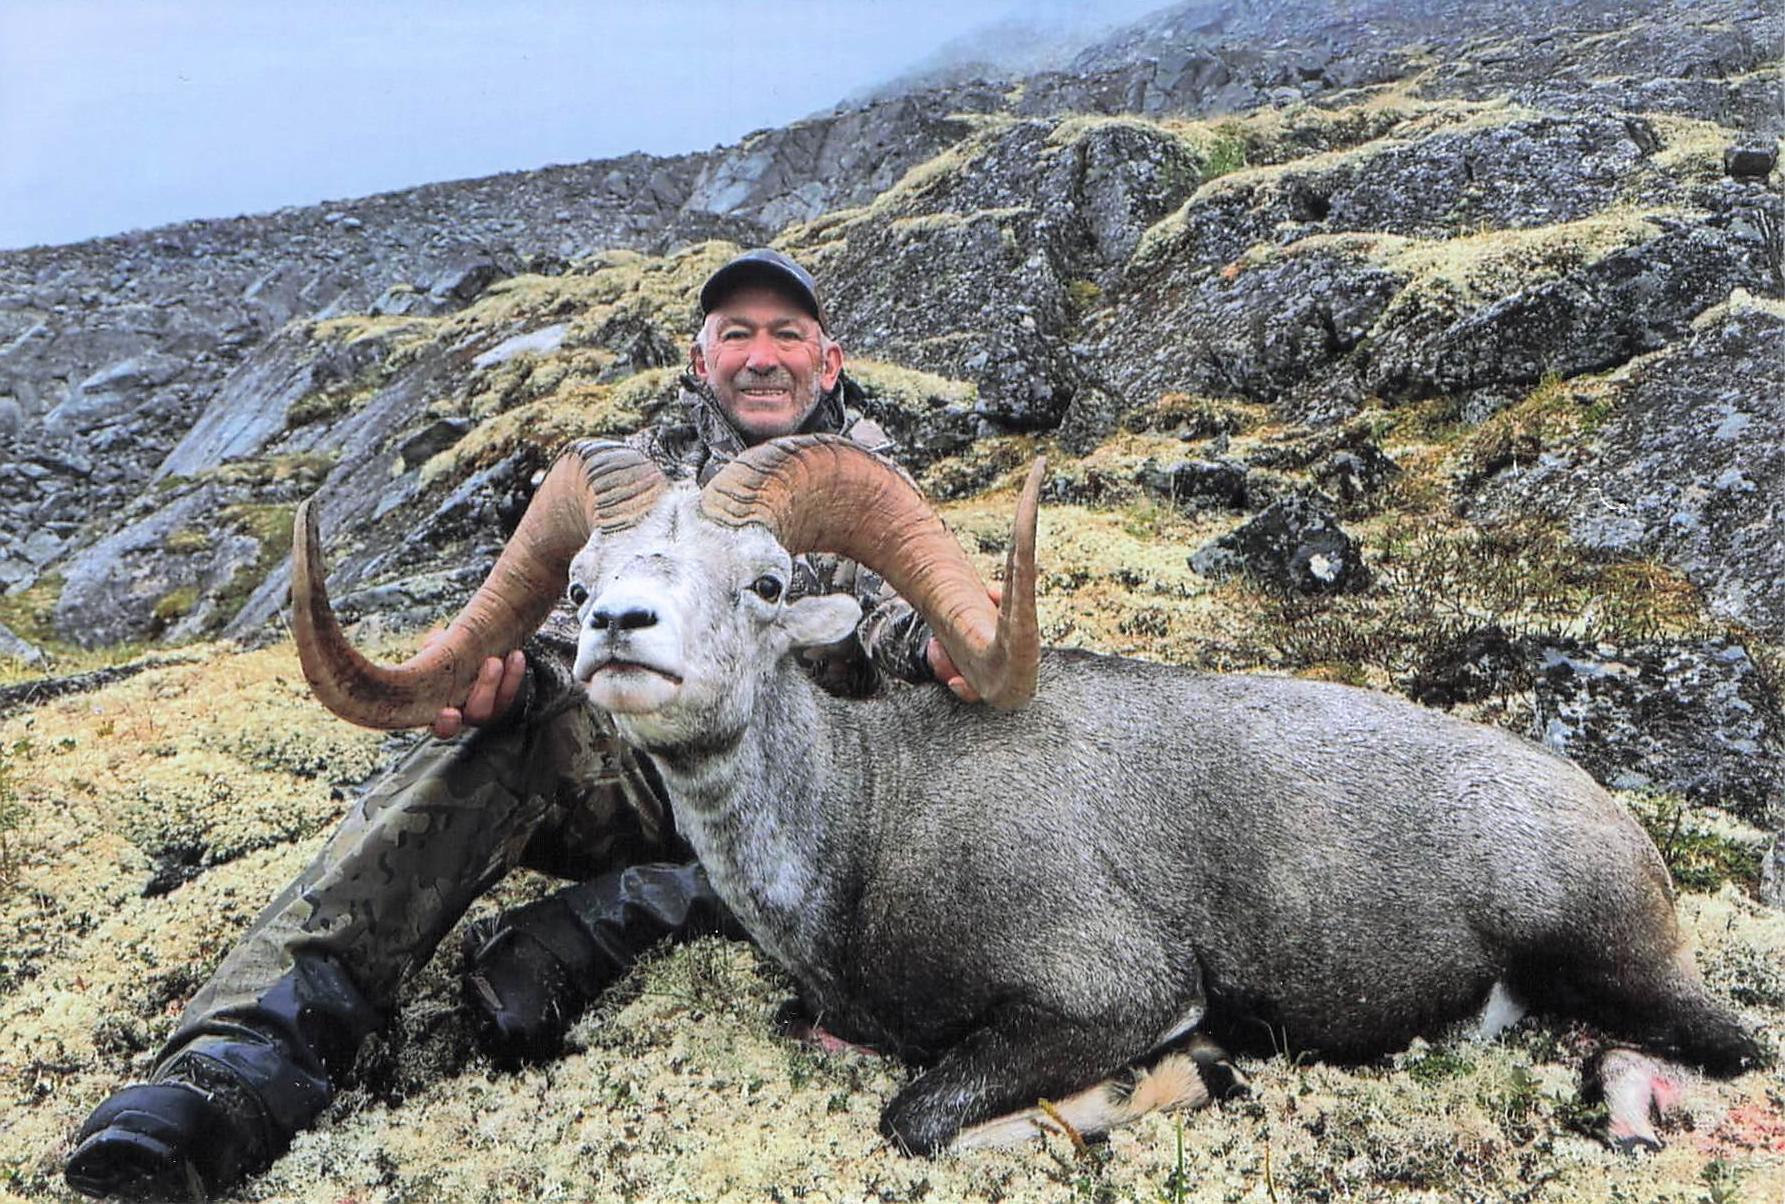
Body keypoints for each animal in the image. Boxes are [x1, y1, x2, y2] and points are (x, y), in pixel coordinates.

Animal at [290, 434, 1763, 1156]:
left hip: (1610, 956)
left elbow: (917, 1120)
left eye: (765, 581)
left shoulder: (1102, 995)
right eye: (585, 576)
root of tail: (1617, 826)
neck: (870, 829)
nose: (618, 632)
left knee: (1735, 1047)